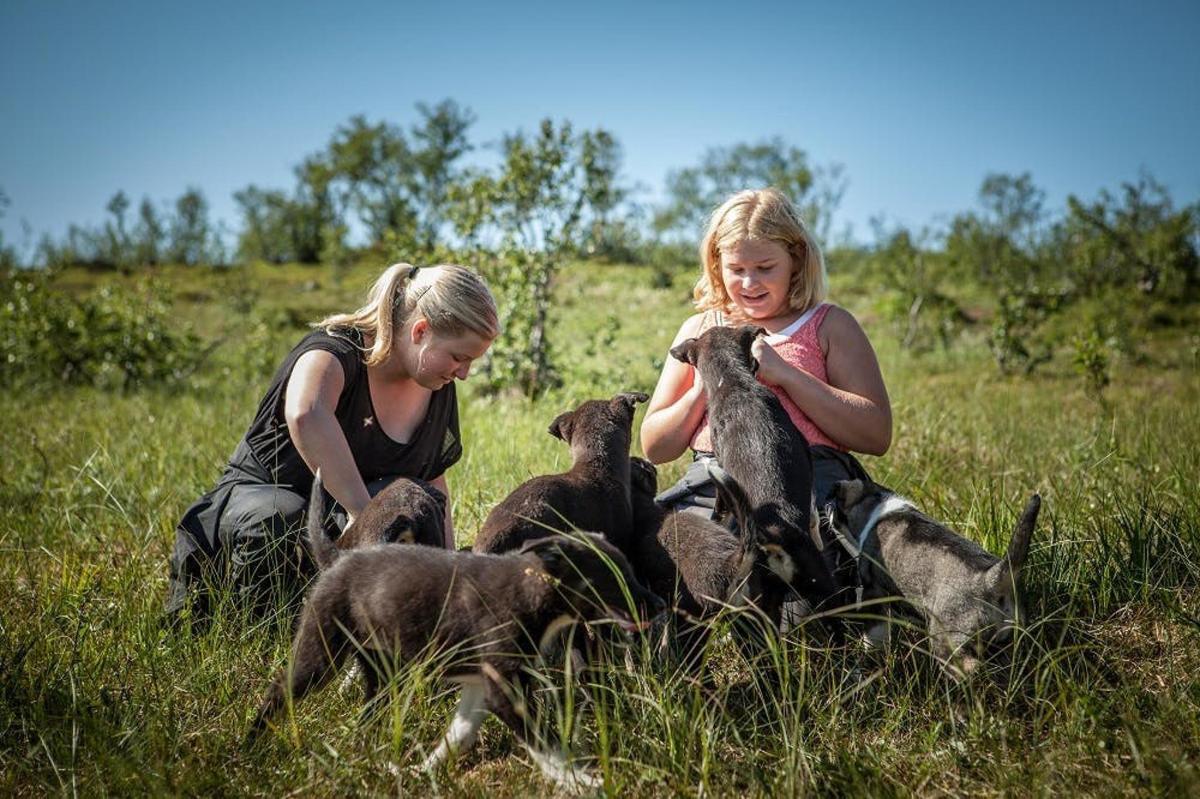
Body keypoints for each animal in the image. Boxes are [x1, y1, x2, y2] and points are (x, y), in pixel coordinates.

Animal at [667, 321, 844, 619]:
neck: (733, 381)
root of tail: (771, 536)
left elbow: (721, 508)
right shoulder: (804, 453)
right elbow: (812, 509)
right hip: (810, 587)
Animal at [825, 475, 1041, 676]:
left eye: (835, 502)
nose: (826, 506)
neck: (875, 503)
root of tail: (993, 578)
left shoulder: (874, 594)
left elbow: (874, 636)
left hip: (947, 642)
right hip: (1009, 643)